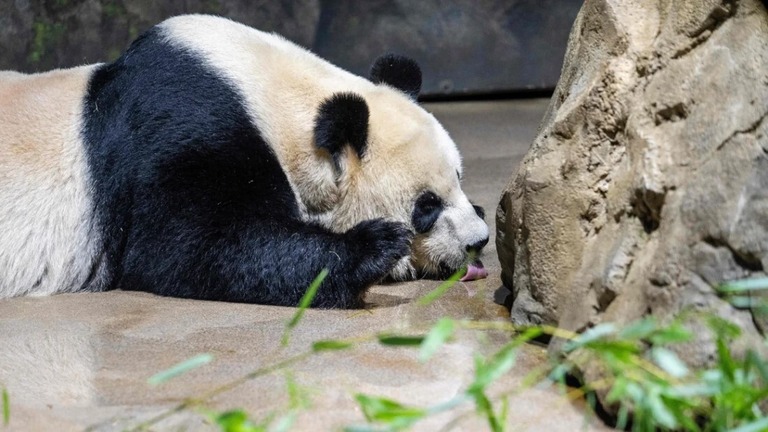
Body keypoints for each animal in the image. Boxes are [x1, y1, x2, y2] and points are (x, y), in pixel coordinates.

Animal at [0, 16, 492, 308]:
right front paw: (379, 247)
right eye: (426, 205)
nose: (478, 242)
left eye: (459, 177)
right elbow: (188, 248)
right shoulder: (180, 128)